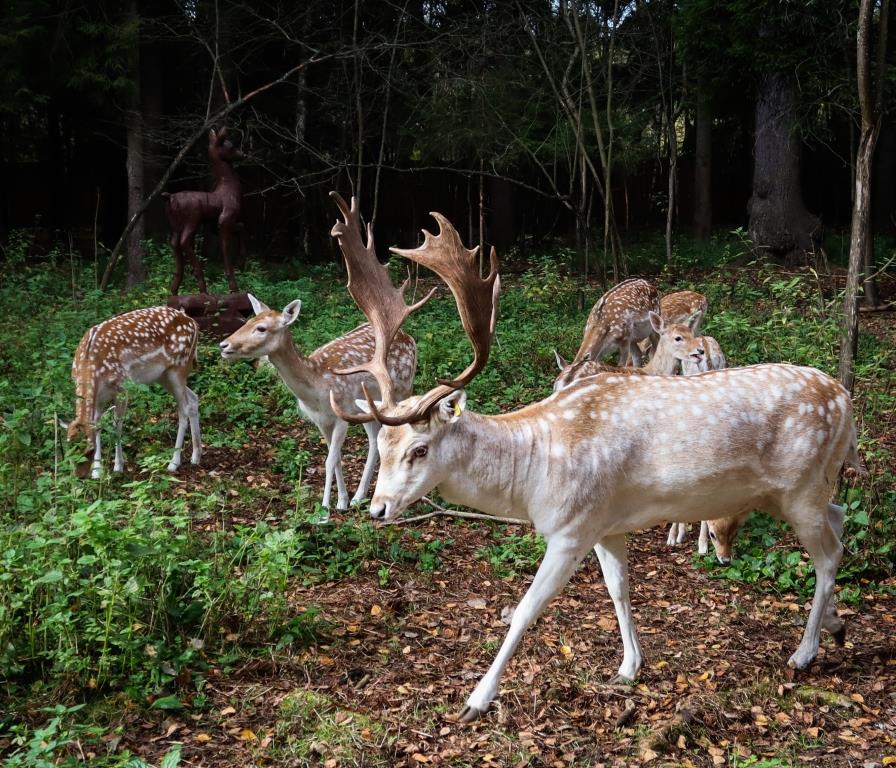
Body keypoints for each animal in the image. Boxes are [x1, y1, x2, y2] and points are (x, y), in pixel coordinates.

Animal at [65, 308, 202, 476]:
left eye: (88, 452)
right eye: (68, 450)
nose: (78, 475)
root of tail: (193, 322)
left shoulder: (123, 386)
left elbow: (117, 425)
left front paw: (118, 466)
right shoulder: (99, 396)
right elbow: (97, 425)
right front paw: (97, 471)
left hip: (179, 367)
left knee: (184, 409)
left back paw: (174, 463)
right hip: (163, 376)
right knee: (193, 399)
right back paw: (196, 456)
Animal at [164, 127, 242, 296]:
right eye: (230, 146)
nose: (241, 153)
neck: (228, 188)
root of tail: (170, 198)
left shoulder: (216, 224)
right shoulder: (225, 219)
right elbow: (225, 247)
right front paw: (234, 288)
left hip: (174, 224)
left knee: (174, 243)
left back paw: (175, 289)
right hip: (193, 218)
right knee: (184, 241)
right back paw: (203, 288)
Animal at [220, 194, 434, 516]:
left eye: (261, 328)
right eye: (246, 320)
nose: (224, 345)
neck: (315, 390)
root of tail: (408, 337)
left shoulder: (341, 411)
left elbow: (330, 458)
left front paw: (324, 510)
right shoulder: (320, 420)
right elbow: (335, 459)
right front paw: (342, 501)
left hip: (400, 386)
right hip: (368, 404)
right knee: (374, 438)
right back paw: (359, 496)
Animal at [326, 195, 856, 724]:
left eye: (419, 449)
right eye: (383, 446)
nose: (377, 508)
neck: (534, 475)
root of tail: (846, 402)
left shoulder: (571, 527)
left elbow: (525, 609)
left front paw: (476, 699)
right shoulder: (607, 524)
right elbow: (619, 588)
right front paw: (628, 667)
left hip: (801, 486)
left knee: (829, 554)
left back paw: (804, 652)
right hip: (792, 491)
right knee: (839, 516)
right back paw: (835, 625)